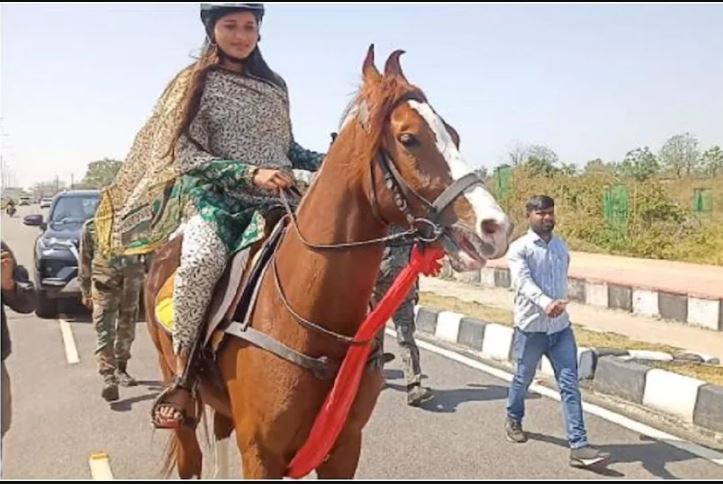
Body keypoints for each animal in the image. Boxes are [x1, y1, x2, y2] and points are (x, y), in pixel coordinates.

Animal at [144, 47, 512, 478]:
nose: (495, 227)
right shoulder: (261, 453)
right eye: (409, 138)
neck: (312, 321)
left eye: (453, 135)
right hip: (177, 387)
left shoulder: (345, 447)